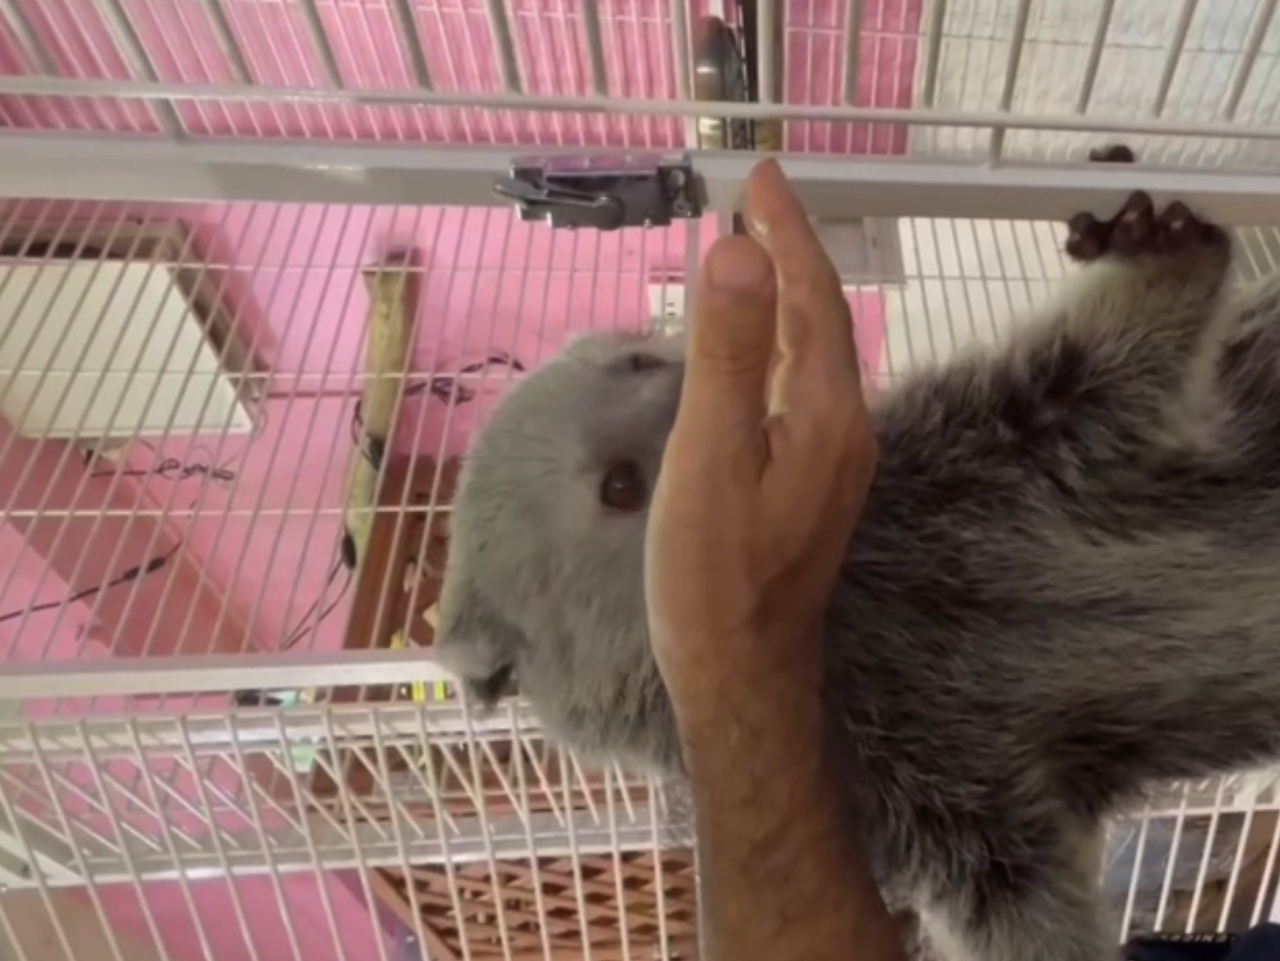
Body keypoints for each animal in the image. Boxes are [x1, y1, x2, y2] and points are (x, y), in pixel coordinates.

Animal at [433, 145, 1280, 961]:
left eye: (634, 363)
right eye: (618, 486)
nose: (693, 370)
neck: (859, 588)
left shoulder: (965, 455)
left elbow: (1094, 371)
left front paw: (1160, 253)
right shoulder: (905, 784)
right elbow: (1008, 894)